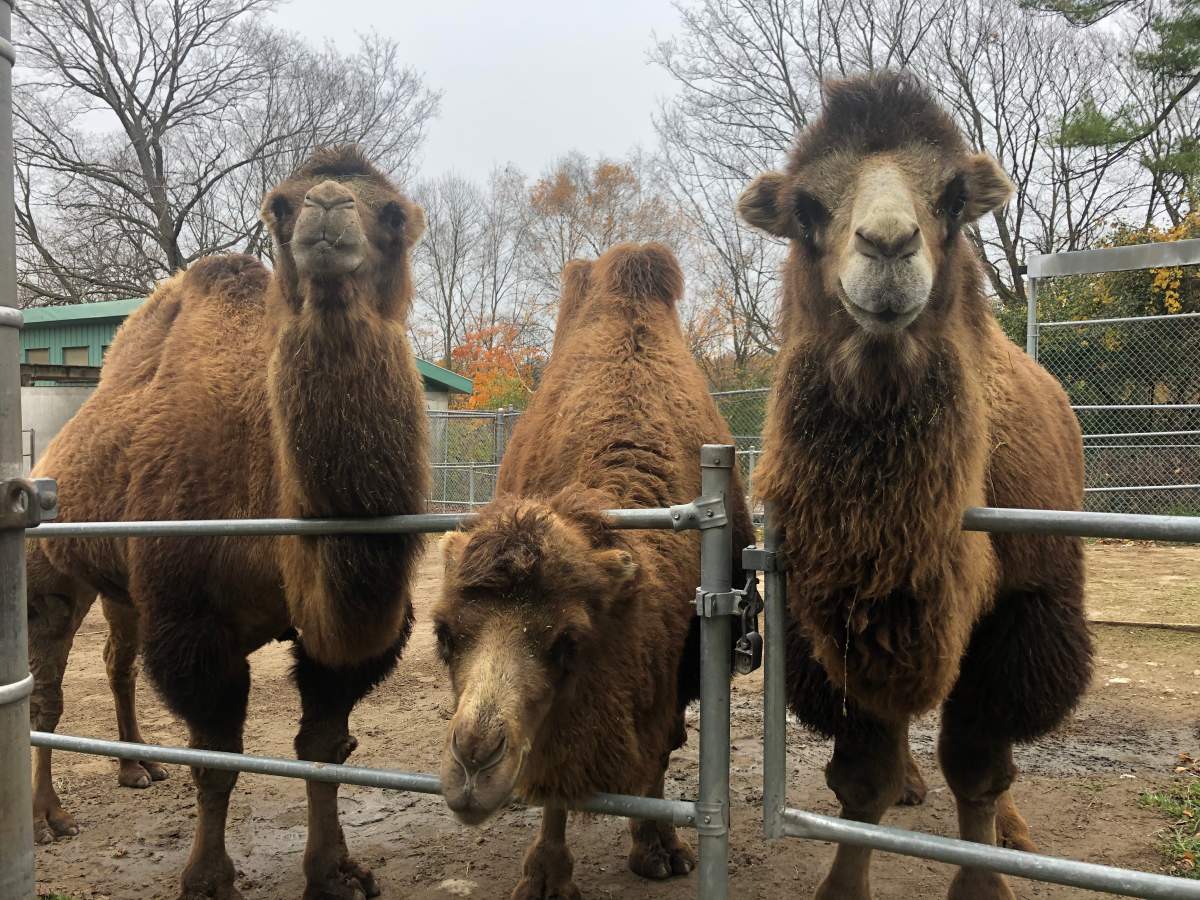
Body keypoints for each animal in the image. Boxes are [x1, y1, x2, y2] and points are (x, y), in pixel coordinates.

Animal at [27, 145, 430, 900]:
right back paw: (47, 817)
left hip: (123, 586)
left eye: (393, 214)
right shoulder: (191, 624)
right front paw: (208, 879)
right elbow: (217, 760)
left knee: (117, 659)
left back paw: (135, 766)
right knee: (47, 691)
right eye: (280, 207)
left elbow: (323, 749)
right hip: (52, 570)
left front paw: (334, 871)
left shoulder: (351, 640)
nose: (327, 207)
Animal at [432, 243, 755, 899]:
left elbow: (656, 749)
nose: (474, 760)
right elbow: (557, 772)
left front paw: (660, 850)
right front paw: (545, 876)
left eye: (568, 642)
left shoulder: (674, 657)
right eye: (444, 636)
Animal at [737, 72, 1092, 900]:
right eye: (808, 208)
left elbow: (980, 771)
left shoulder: (1021, 615)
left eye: (954, 199)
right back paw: (911, 781)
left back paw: (1014, 828)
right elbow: (862, 777)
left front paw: (985, 881)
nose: (889, 243)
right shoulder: (829, 620)